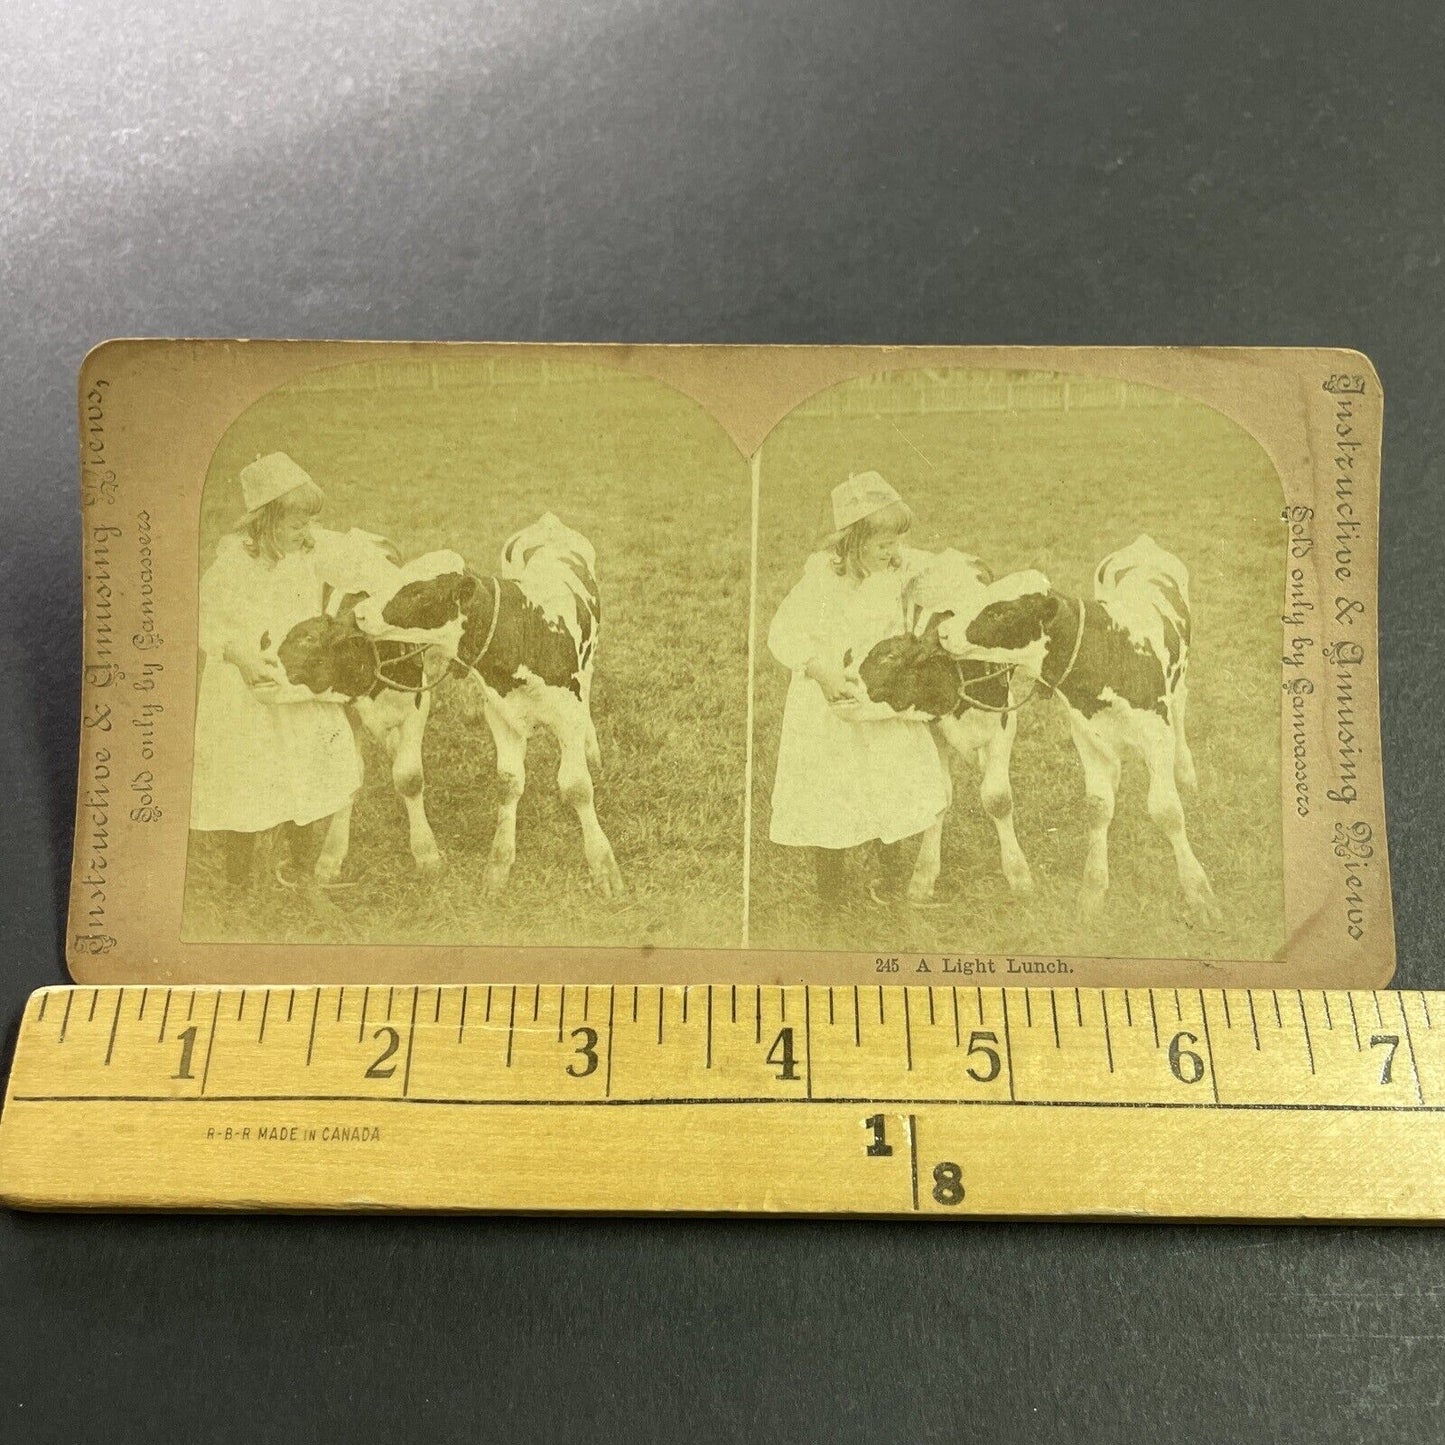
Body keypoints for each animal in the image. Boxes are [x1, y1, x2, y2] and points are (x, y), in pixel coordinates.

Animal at [849, 549, 1034, 901]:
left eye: (890, 658)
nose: (843, 687)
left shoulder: (1006, 721)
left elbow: (998, 798)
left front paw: (1019, 876)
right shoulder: (932, 728)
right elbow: (940, 797)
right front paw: (923, 877)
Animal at [936, 534, 1219, 924]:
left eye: (999, 612)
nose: (942, 632)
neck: (1109, 652)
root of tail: (1143, 543)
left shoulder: (1156, 736)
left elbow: (1167, 811)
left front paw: (1198, 892)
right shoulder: (1085, 734)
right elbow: (1097, 807)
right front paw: (1093, 892)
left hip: (1178, 683)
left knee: (1182, 704)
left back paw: (1187, 773)